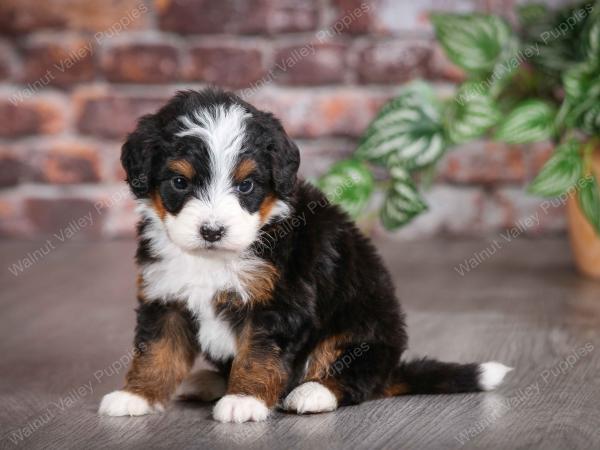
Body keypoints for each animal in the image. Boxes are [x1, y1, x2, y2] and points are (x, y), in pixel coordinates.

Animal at [98, 87, 510, 422]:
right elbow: (156, 352)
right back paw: (208, 381)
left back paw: (312, 392)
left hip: (362, 328)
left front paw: (245, 400)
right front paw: (136, 395)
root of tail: (392, 369)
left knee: (353, 375)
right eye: (180, 182)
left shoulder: (279, 304)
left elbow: (259, 356)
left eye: (246, 185)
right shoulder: (164, 295)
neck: (213, 258)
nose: (212, 231)